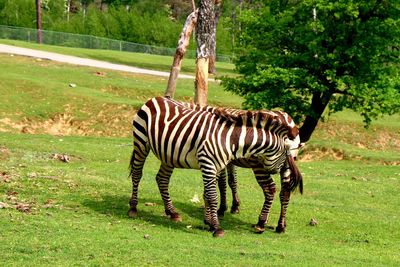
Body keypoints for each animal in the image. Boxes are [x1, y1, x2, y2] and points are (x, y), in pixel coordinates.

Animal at [130, 97, 302, 239]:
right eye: (284, 156)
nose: (278, 169)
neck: (232, 139)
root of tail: (156, 98)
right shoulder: (211, 163)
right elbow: (216, 192)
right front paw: (217, 223)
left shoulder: (220, 163)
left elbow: (216, 189)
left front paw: (212, 219)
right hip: (142, 142)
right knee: (138, 173)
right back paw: (133, 208)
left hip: (168, 153)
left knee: (162, 179)